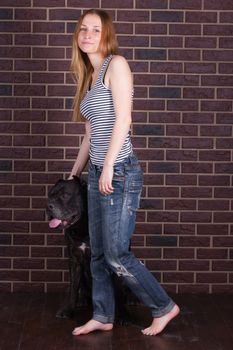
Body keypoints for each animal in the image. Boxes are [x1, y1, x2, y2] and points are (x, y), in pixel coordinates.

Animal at [45, 178, 136, 322]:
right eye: (50, 195)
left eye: (65, 195)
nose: (48, 205)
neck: (83, 227)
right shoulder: (74, 260)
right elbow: (73, 287)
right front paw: (67, 310)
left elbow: (118, 292)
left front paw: (124, 315)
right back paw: (82, 300)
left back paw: (131, 299)